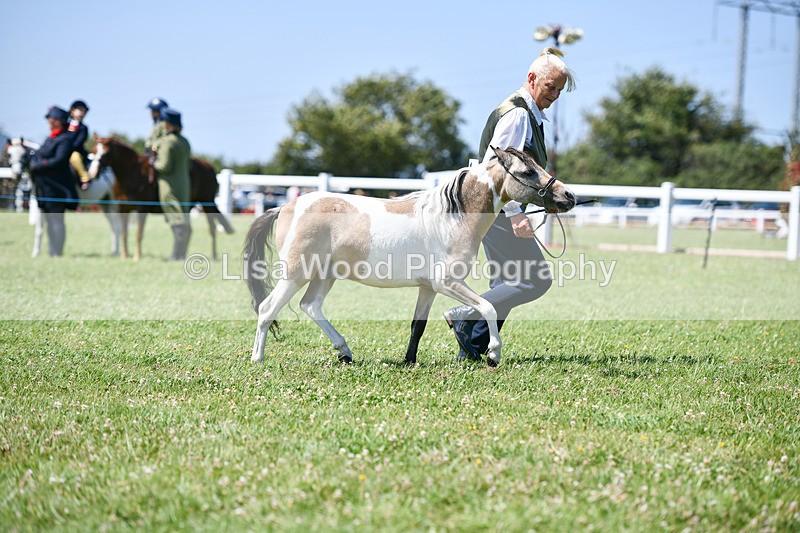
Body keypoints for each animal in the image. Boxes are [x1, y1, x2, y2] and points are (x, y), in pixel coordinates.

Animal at [90, 136, 234, 260]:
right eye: (94, 150)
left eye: (106, 153)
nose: (93, 173)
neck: (131, 175)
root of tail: (209, 166)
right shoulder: (123, 209)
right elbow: (125, 233)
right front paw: (124, 256)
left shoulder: (142, 210)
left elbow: (138, 234)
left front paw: (137, 256)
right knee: (186, 230)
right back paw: (180, 255)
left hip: (206, 203)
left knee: (211, 229)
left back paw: (213, 255)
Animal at [243, 146, 576, 367]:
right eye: (527, 171)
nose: (568, 196)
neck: (451, 218)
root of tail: (284, 207)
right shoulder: (447, 283)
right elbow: (488, 307)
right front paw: (494, 353)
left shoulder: (428, 288)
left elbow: (419, 325)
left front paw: (410, 360)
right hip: (295, 273)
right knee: (268, 308)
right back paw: (258, 358)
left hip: (324, 274)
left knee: (310, 306)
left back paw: (345, 352)